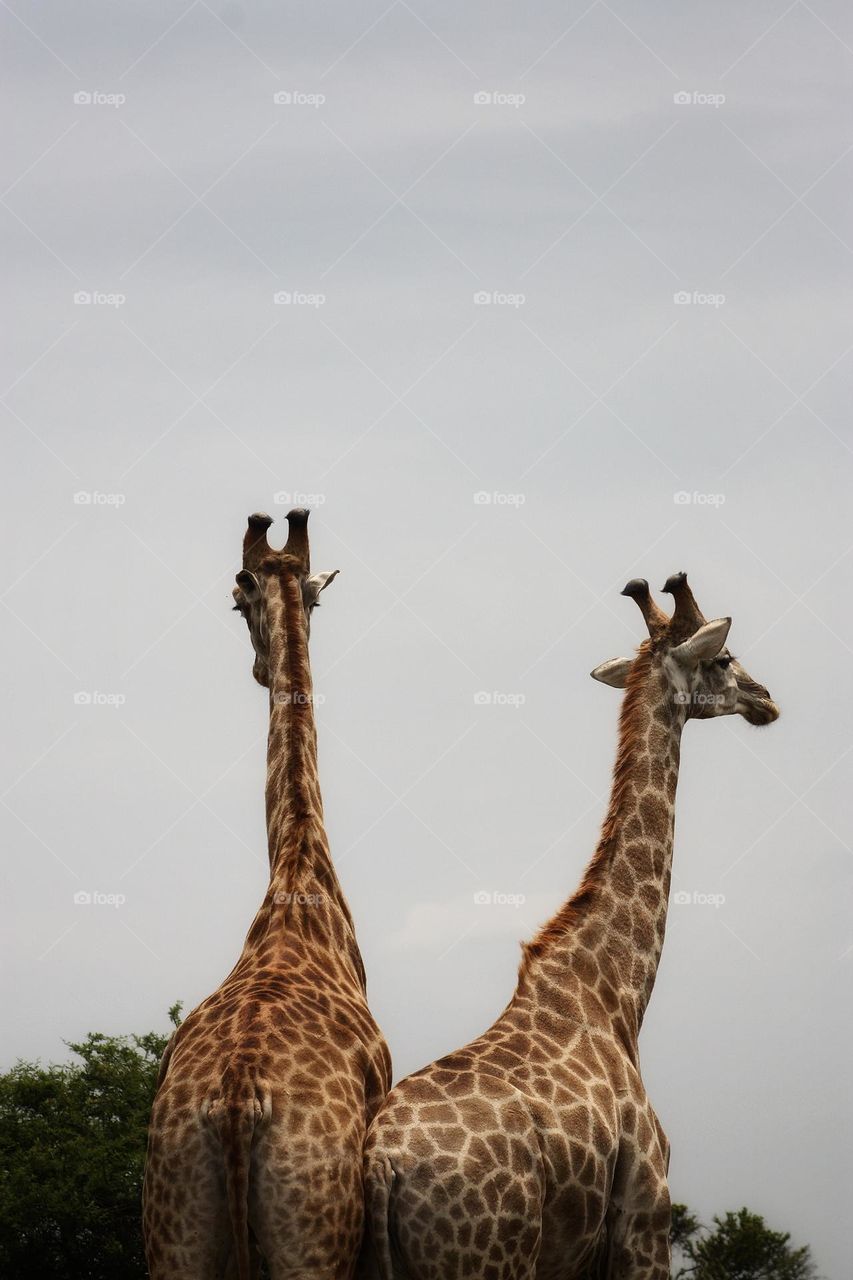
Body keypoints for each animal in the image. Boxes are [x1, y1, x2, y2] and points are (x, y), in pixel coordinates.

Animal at [143, 509, 391, 1280]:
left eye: (237, 604)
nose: (256, 670)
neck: (298, 874)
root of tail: (235, 1099)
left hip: (174, 1222)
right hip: (313, 1233)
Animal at [363, 572, 779, 1280]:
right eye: (724, 658)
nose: (767, 700)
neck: (617, 993)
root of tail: (382, 1168)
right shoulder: (645, 1217)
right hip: (489, 1256)